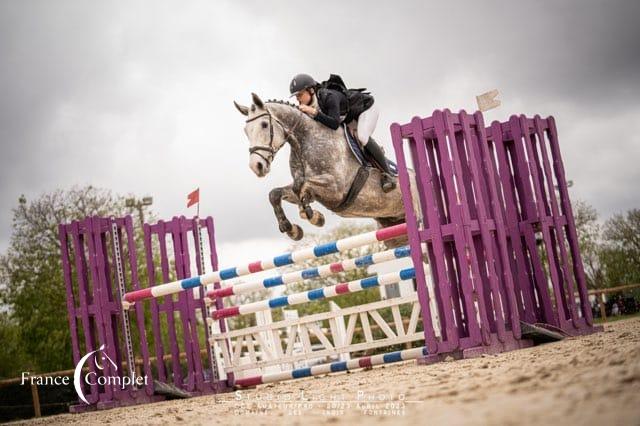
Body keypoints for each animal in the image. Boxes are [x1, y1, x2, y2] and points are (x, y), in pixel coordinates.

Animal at [232, 93, 418, 241]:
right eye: (246, 131)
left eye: (264, 125)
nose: (256, 166)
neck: (305, 140)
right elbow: (276, 194)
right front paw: (293, 229)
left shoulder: (336, 189)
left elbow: (302, 186)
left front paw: (313, 216)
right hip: (393, 232)